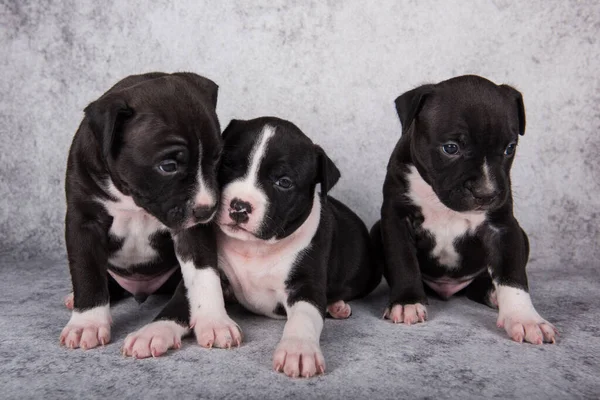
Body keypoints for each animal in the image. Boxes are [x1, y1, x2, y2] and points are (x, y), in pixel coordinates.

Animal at [59, 72, 241, 356]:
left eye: (217, 158)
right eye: (168, 166)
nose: (207, 210)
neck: (131, 198)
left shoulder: (191, 230)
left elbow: (203, 273)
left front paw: (214, 321)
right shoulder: (84, 221)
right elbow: (87, 271)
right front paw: (86, 323)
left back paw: (154, 332)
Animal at [210, 117, 380, 376]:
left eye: (284, 182)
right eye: (228, 164)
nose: (239, 207)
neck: (257, 248)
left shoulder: (305, 287)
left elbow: (304, 317)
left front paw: (298, 350)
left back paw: (337, 306)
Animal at [370, 76, 556, 346]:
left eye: (510, 148)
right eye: (451, 148)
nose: (486, 193)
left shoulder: (503, 227)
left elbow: (512, 273)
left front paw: (525, 318)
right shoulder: (396, 218)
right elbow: (402, 260)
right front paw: (407, 303)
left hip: (520, 237)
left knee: (480, 286)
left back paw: (493, 294)